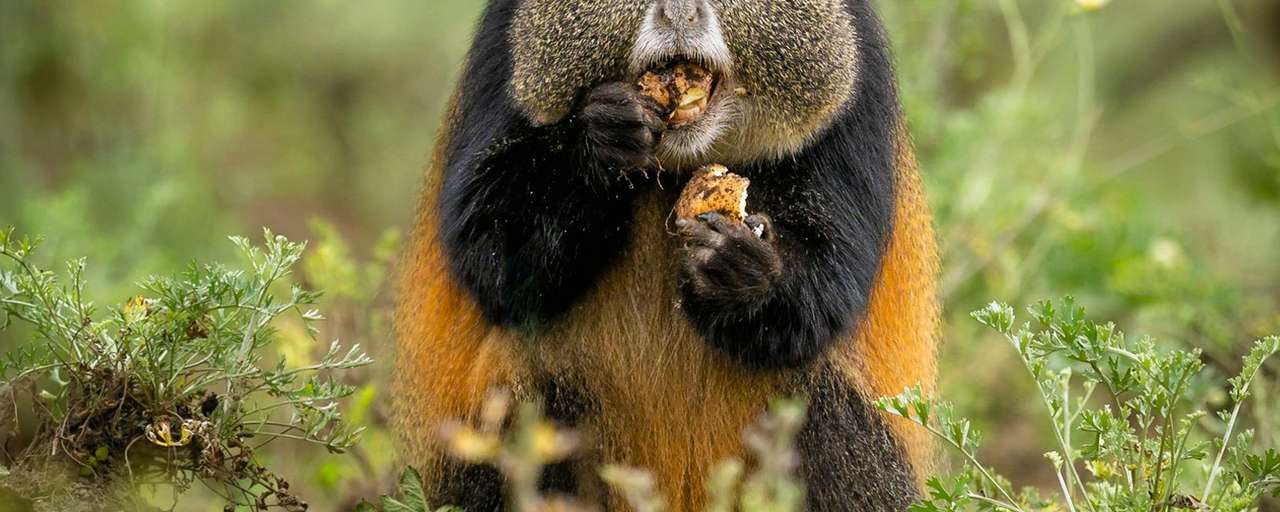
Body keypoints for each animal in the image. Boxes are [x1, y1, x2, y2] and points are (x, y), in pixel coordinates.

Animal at [392, 0, 940, 510]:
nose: (680, 9)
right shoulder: (498, 52)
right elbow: (491, 256)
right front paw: (600, 141)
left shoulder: (860, 86)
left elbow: (829, 291)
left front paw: (740, 272)